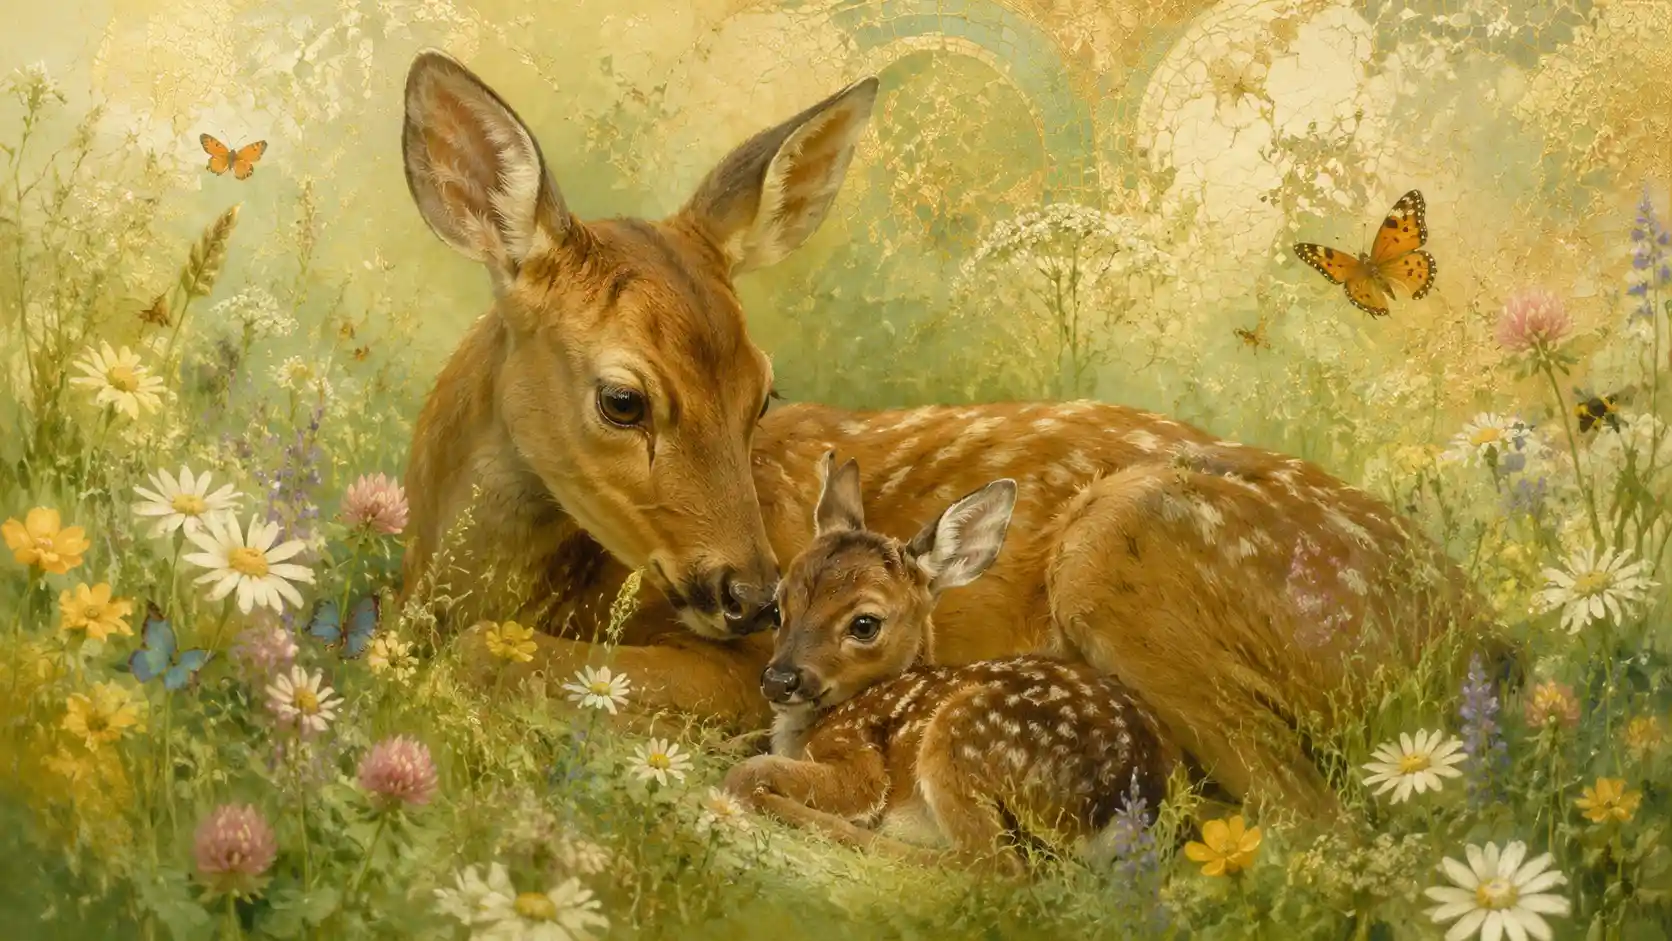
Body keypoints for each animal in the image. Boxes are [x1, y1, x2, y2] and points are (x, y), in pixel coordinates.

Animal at [396, 48, 1514, 819]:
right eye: (623, 399)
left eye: (762, 392)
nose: (752, 593)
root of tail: (1482, 642)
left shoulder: (729, 671)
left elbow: (487, 660)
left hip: (1128, 548)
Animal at [721, 452, 1181, 875]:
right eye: (777, 609)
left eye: (865, 624)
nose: (778, 680)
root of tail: (1129, 804)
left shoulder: (860, 761)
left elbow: (750, 772)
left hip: (959, 739)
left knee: (994, 867)